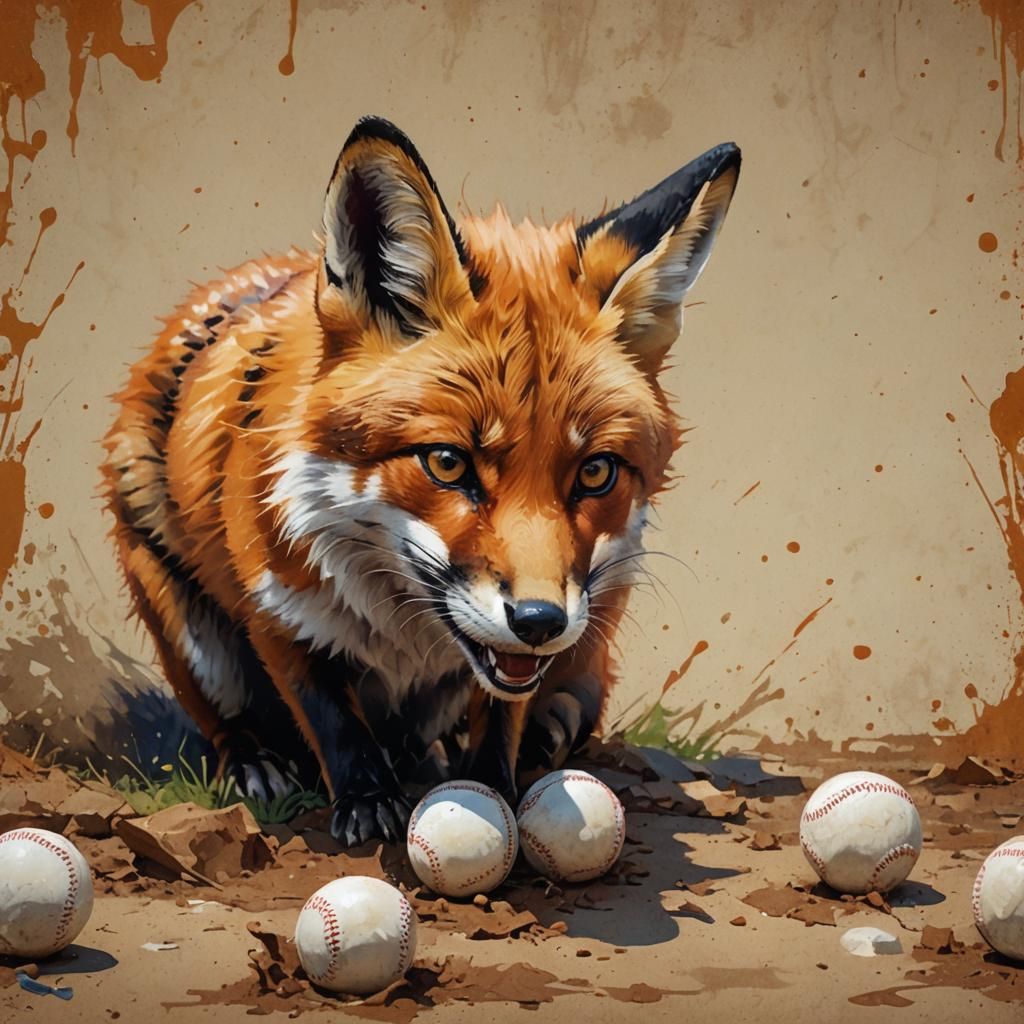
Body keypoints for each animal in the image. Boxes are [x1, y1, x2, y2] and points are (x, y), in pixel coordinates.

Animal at [102, 116, 740, 846]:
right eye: (448, 463)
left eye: (596, 471)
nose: (540, 622)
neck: (403, 636)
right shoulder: (276, 604)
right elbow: (331, 717)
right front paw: (366, 800)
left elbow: (501, 714)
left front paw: (492, 789)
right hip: (191, 635)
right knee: (227, 719)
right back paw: (254, 761)